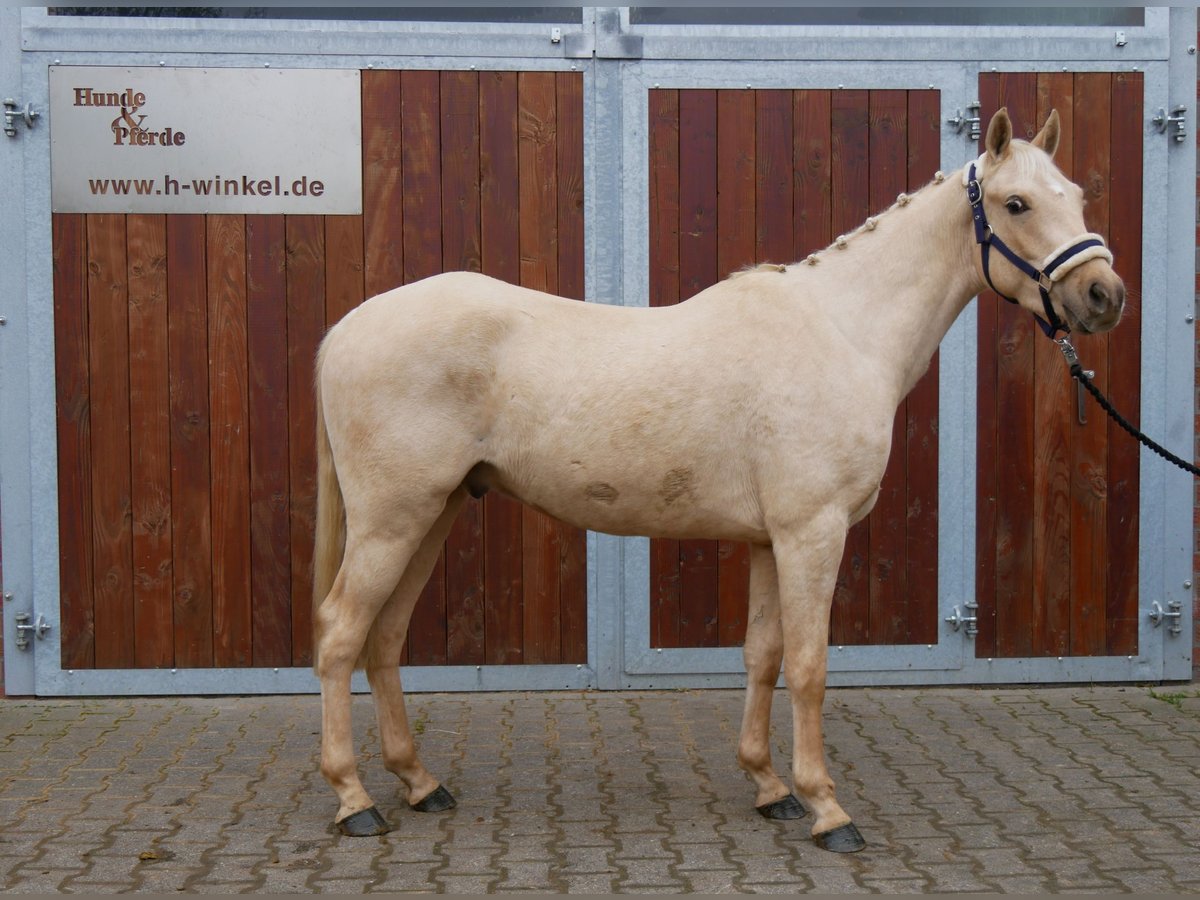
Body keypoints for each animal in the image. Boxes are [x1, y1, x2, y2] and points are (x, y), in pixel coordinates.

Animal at [309, 107, 1123, 854]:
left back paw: (420, 784)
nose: (1103, 296)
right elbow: (808, 666)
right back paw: (355, 801)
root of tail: (345, 328)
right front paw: (828, 808)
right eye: (1017, 204)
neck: (841, 331)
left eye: (1079, 195)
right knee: (342, 633)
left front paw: (770, 788)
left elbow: (762, 655)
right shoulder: (812, 533)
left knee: (384, 637)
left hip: (435, 511)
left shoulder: (770, 540)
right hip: (393, 519)